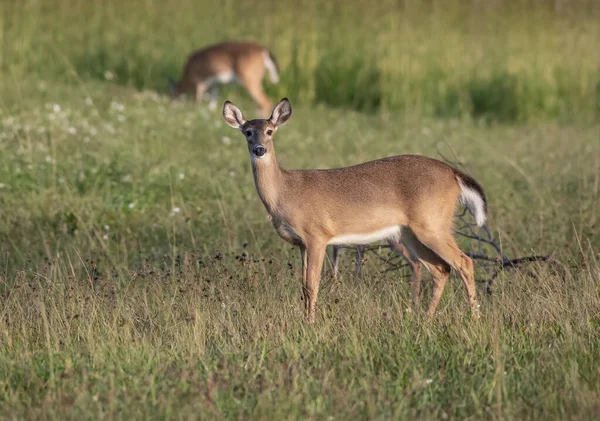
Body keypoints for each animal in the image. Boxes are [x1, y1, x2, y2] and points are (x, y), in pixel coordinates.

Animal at [223, 98, 486, 322]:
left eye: (270, 131)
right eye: (248, 132)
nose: (259, 149)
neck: (285, 192)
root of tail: (453, 174)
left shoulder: (317, 235)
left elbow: (312, 285)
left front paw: (310, 324)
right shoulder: (301, 243)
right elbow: (303, 286)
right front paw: (304, 320)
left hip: (432, 224)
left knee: (464, 262)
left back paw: (474, 318)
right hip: (409, 233)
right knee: (441, 269)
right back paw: (426, 319)